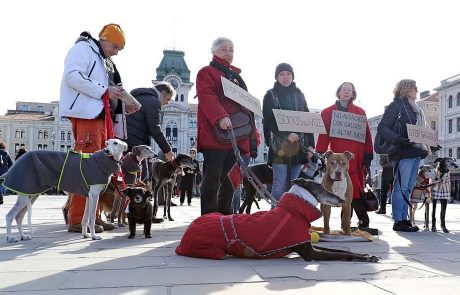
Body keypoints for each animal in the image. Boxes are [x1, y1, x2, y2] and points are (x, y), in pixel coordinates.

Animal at [175, 179, 378, 262]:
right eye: (321, 187)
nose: (341, 200)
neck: (295, 211)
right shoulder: (310, 253)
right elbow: (343, 254)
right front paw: (366, 258)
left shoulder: (307, 242)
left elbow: (340, 249)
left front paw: (366, 254)